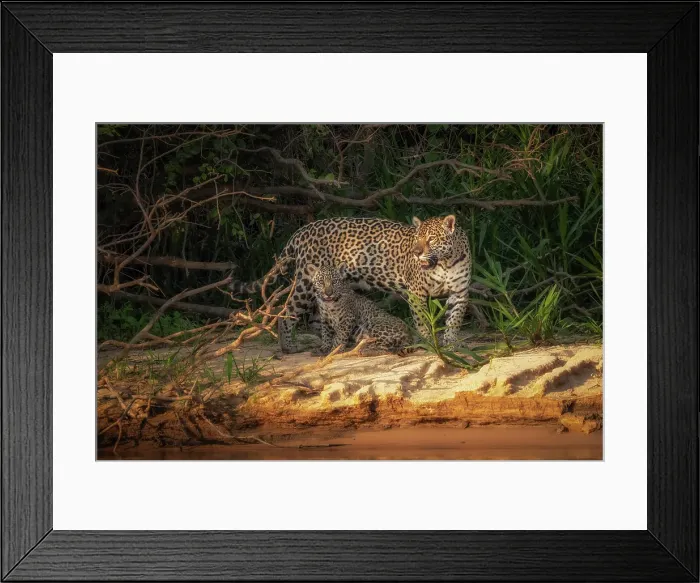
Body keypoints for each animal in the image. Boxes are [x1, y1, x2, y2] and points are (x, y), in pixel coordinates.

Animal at [230, 214, 472, 354]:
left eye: (431, 239)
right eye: (416, 239)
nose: (416, 252)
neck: (445, 262)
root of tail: (301, 231)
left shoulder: (460, 293)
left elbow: (455, 320)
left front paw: (452, 344)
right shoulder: (416, 292)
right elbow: (422, 320)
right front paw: (427, 342)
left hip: (329, 287)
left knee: (321, 316)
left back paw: (330, 344)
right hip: (306, 283)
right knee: (287, 311)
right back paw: (289, 347)